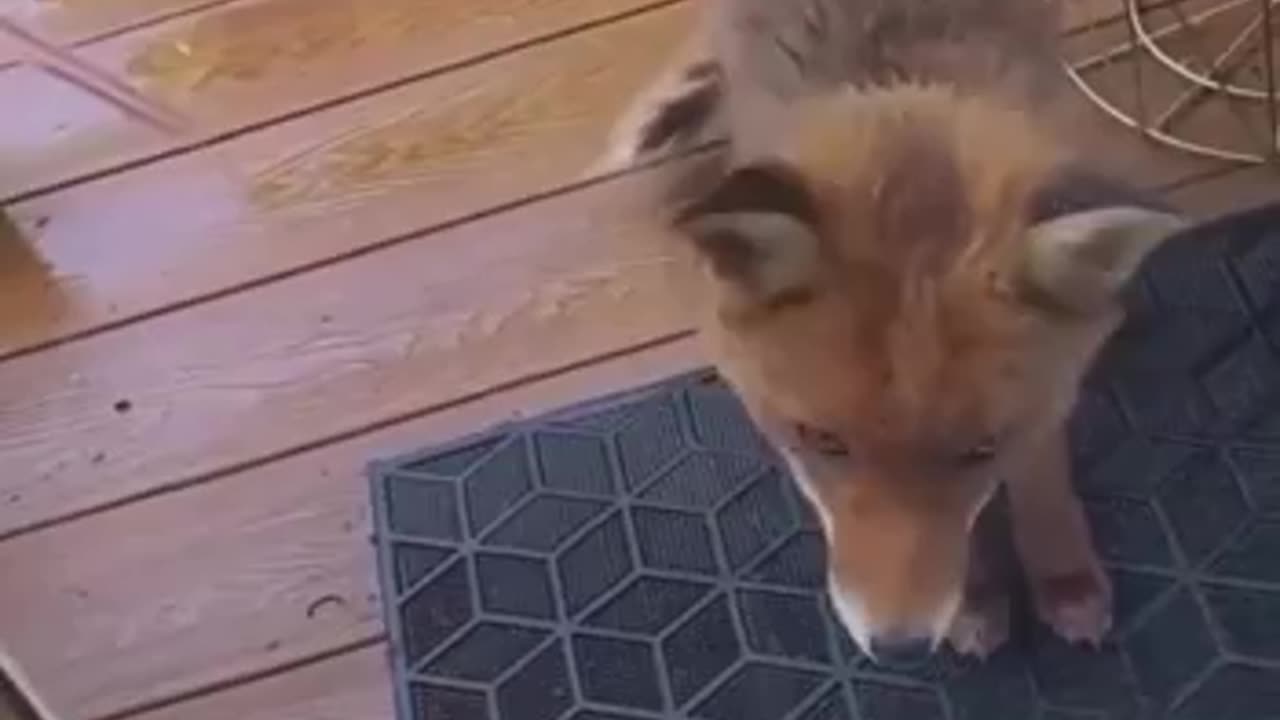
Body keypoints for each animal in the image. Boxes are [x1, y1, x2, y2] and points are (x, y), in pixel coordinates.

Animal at [603, 0, 1189, 663]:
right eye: (821, 441)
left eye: (981, 450)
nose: (899, 647)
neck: (893, 62)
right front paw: (976, 598)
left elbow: (1041, 466)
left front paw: (1062, 572)